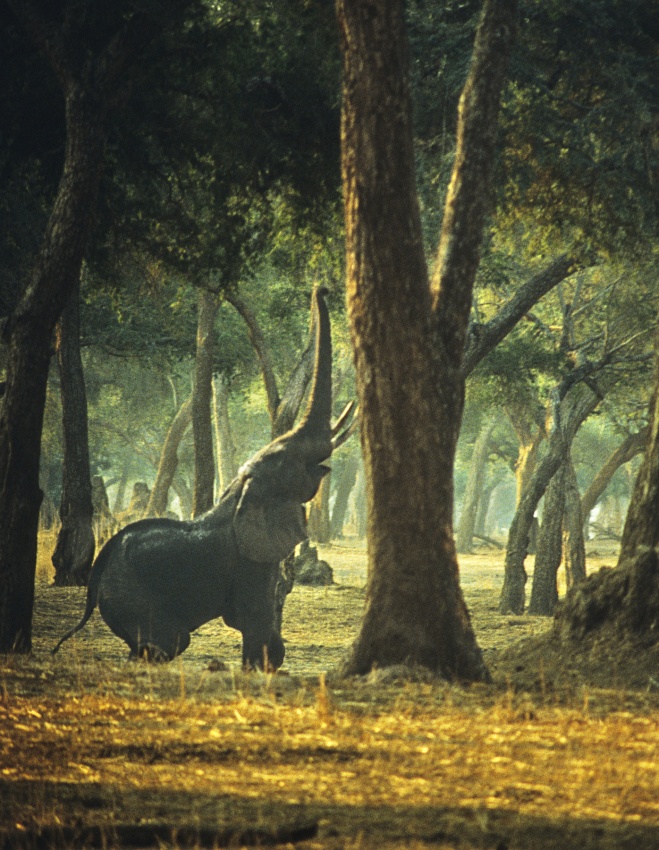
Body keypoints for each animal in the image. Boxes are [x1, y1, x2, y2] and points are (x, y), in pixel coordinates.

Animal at [53, 287, 339, 670]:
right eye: (287, 460)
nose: (322, 289)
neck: (240, 494)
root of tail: (95, 579)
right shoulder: (248, 557)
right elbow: (253, 614)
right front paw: (262, 667)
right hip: (128, 593)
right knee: (171, 640)